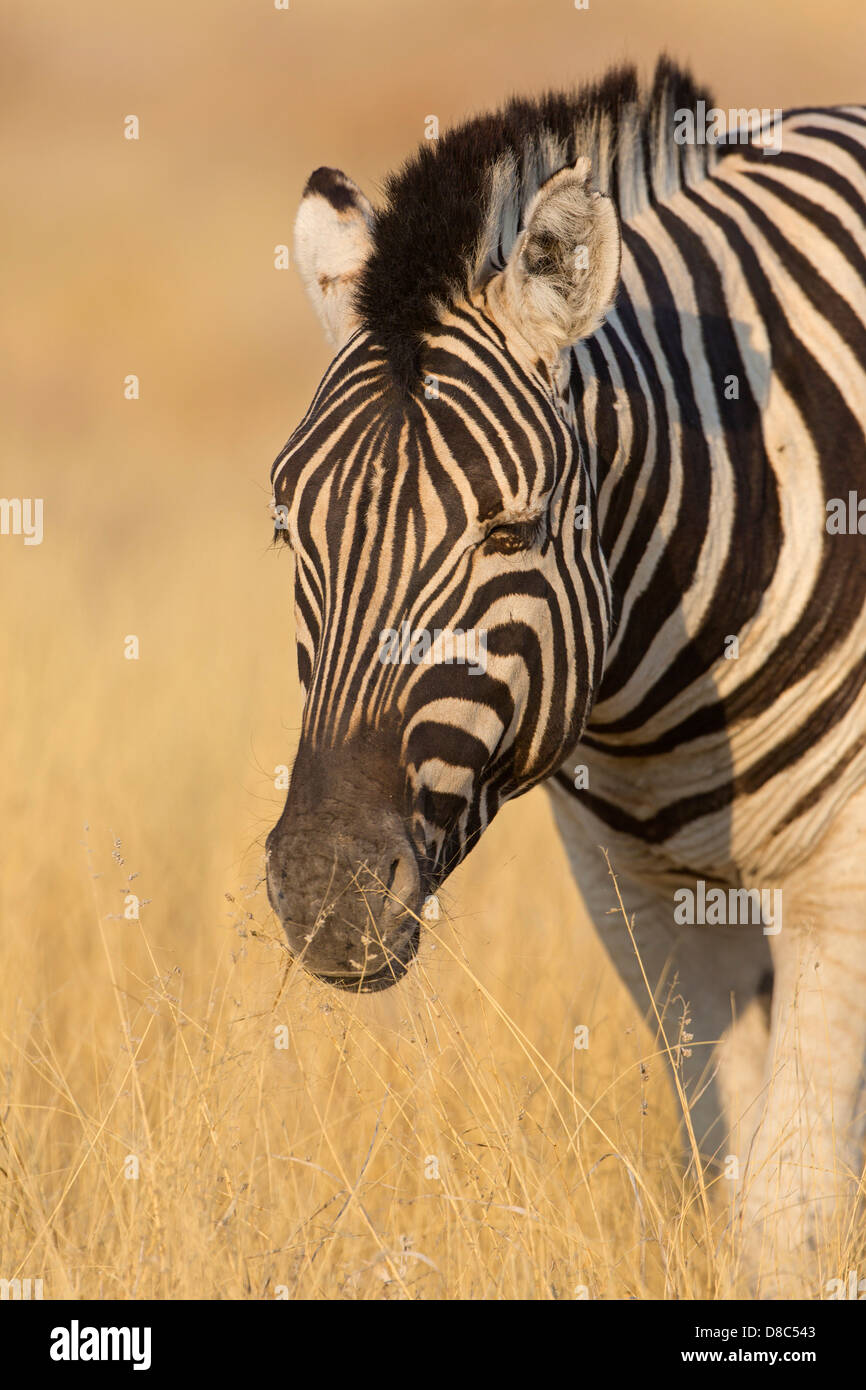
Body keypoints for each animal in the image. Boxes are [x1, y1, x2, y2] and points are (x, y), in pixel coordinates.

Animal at [265, 59, 866, 1284]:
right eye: (289, 531)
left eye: (510, 531)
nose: (323, 897)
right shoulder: (637, 892)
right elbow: (729, 1175)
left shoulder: (844, 875)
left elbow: (789, 1211)